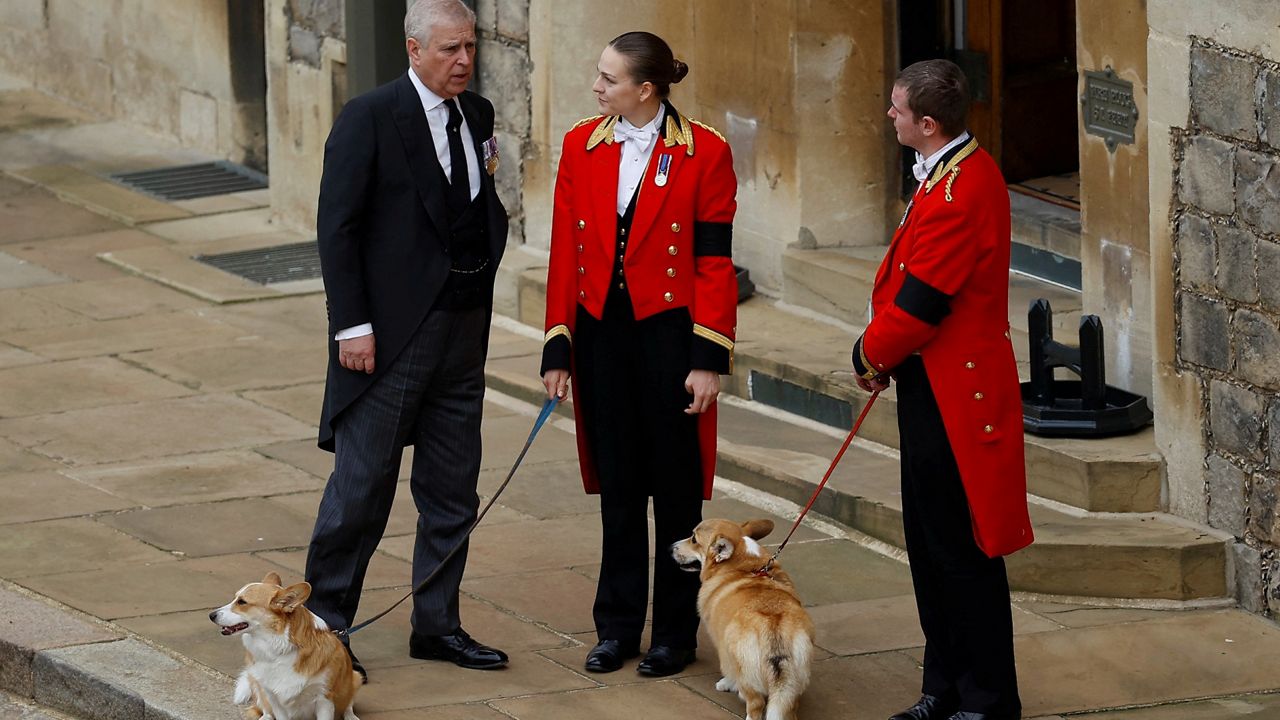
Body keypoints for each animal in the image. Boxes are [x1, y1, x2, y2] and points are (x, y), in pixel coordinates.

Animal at [207, 571, 363, 717]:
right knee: (264, 709)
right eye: (235, 598)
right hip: (257, 685)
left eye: (242, 602)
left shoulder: (324, 699)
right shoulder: (274, 697)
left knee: (348, 705)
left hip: (355, 678)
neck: (278, 648)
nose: (211, 615)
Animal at [675, 517, 814, 717]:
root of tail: (775, 629)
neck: (744, 566)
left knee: (755, 704)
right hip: (792, 684)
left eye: (694, 539)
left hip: (748, 672)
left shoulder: (724, 647)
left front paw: (725, 684)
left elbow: (729, 671)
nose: (671, 547)